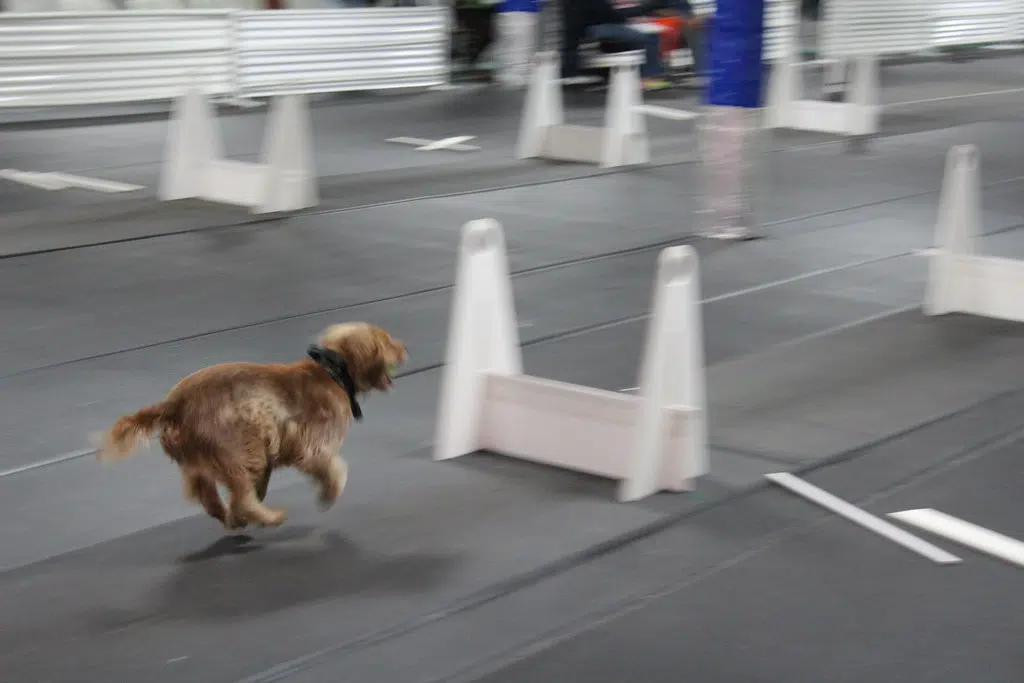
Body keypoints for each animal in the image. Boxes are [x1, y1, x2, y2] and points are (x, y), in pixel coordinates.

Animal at [92, 323, 403, 532]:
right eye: (388, 341)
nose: (405, 348)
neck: (330, 372)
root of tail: (173, 406)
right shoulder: (312, 446)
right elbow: (334, 469)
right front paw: (328, 493)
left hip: (203, 462)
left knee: (212, 499)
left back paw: (234, 518)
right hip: (238, 451)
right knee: (241, 498)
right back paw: (269, 517)